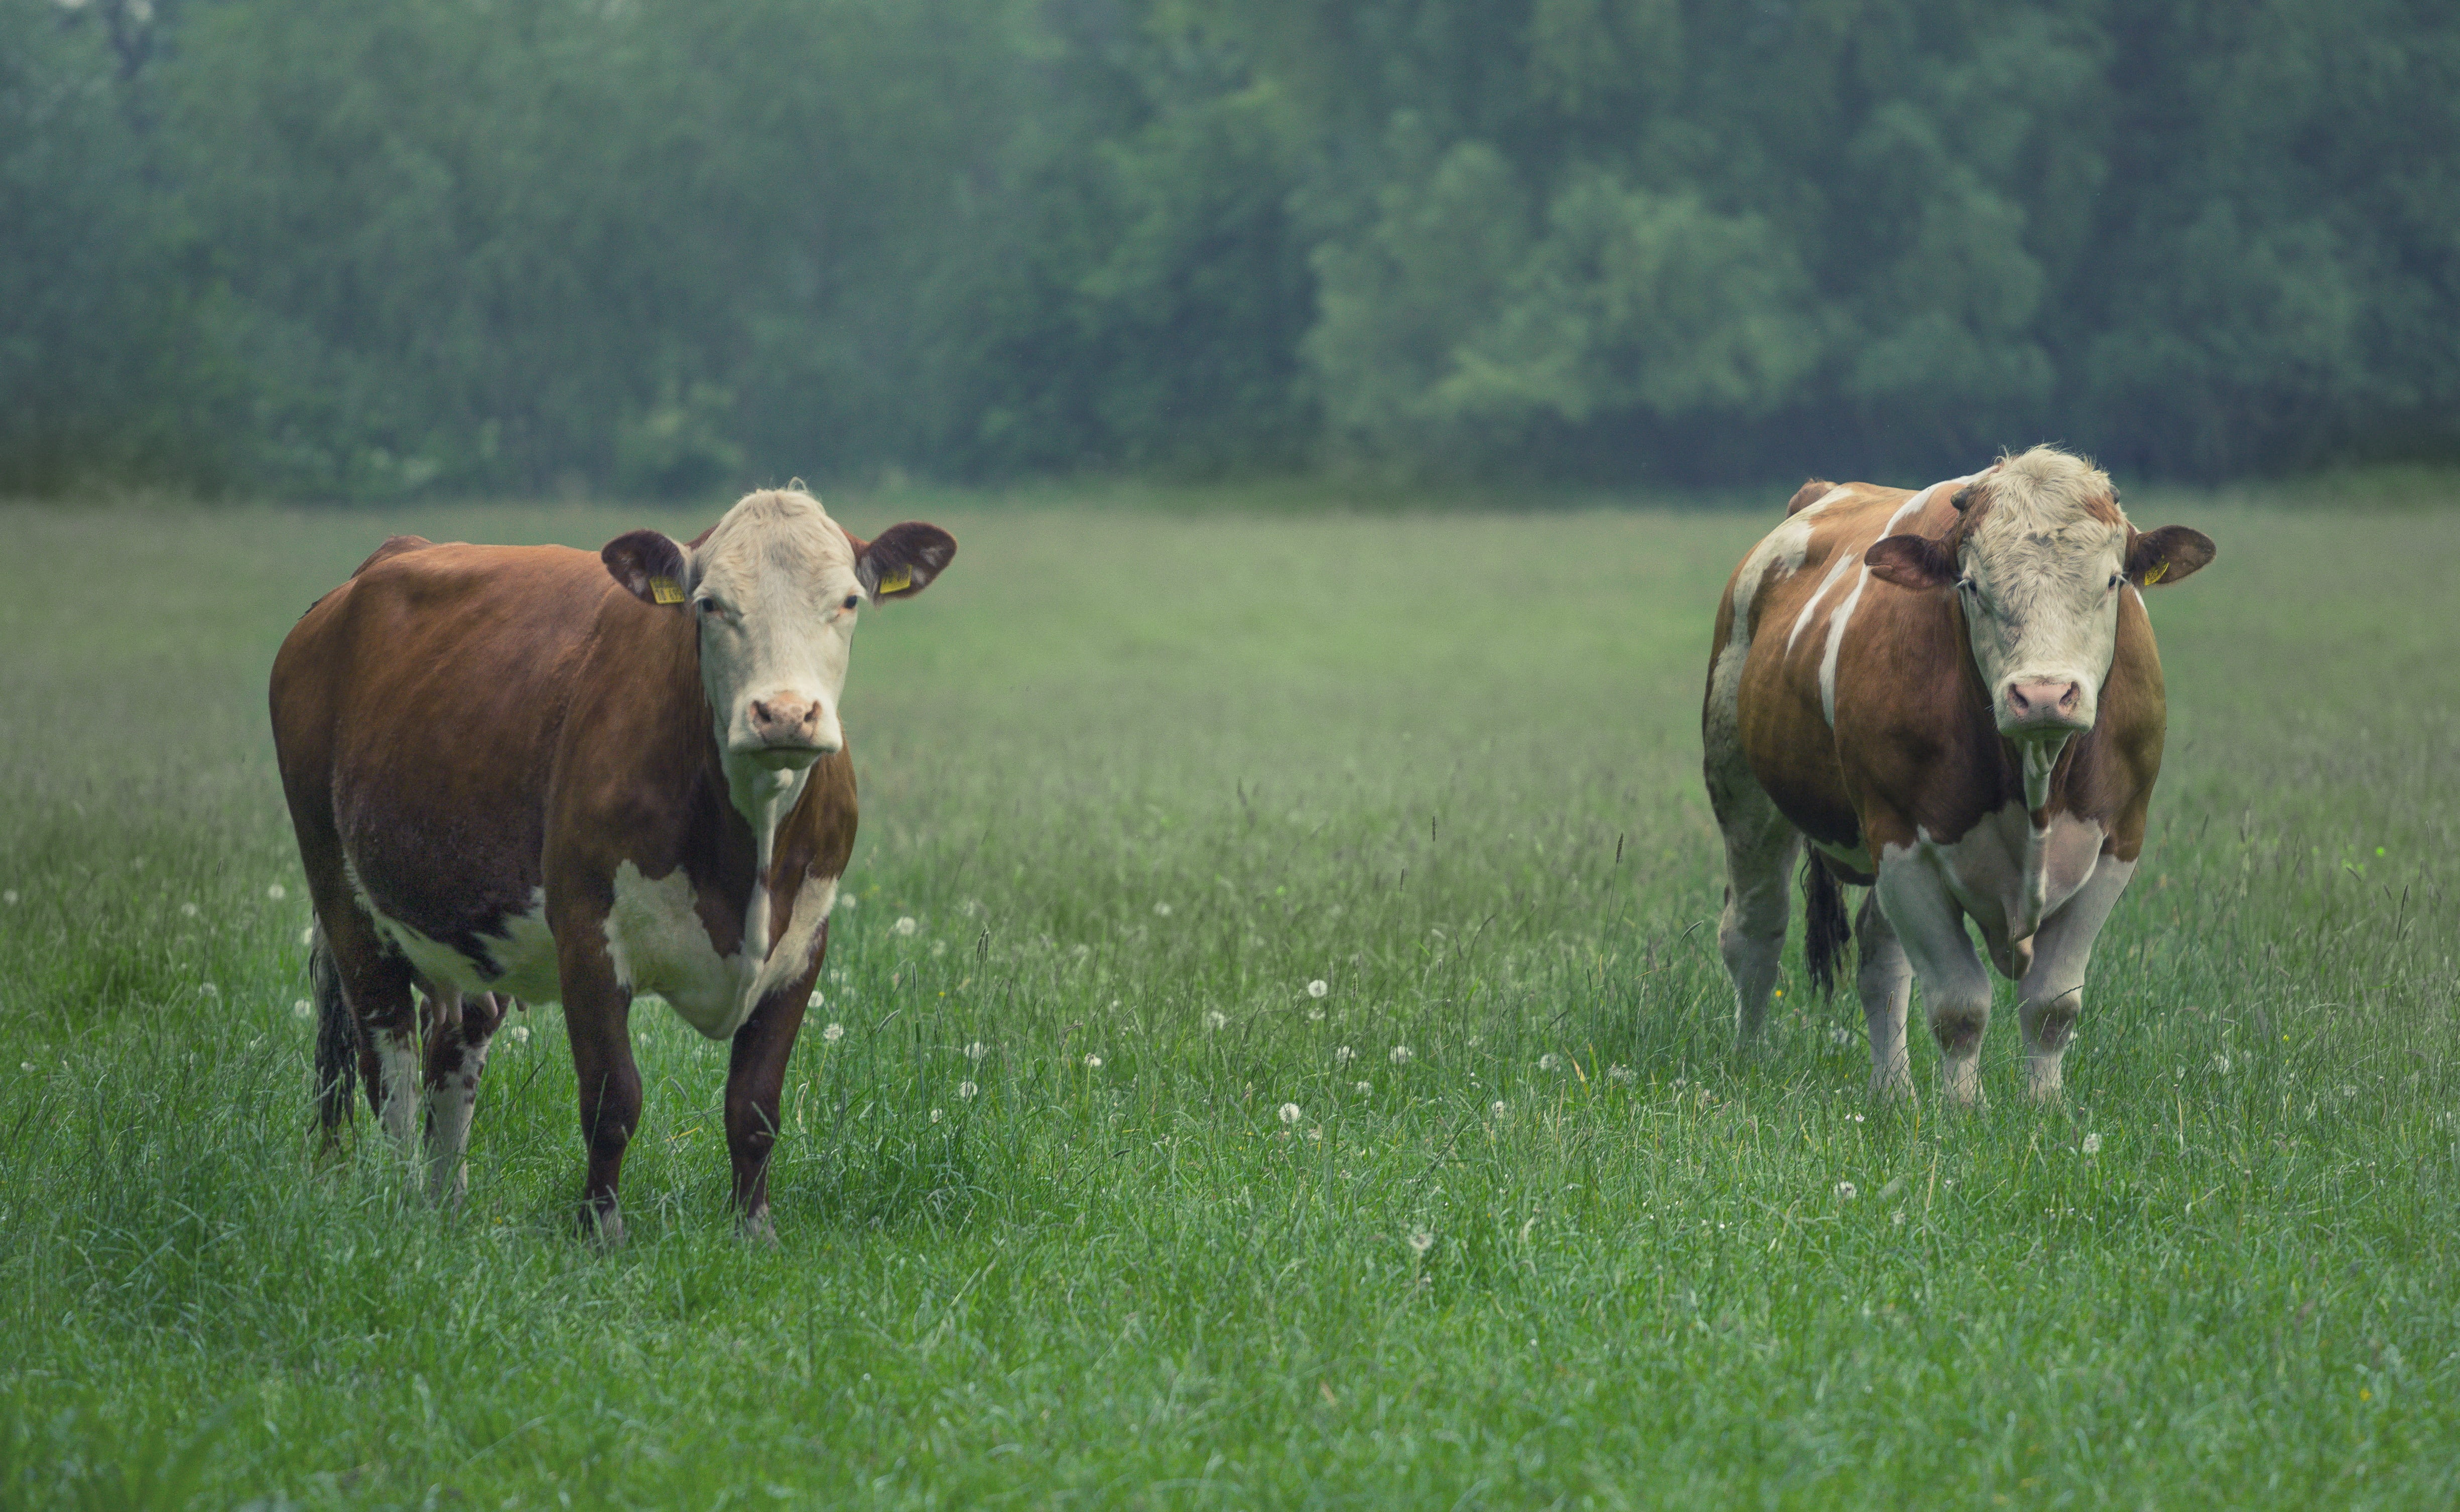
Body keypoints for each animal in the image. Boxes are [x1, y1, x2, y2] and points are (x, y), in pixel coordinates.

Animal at [272, 487, 955, 1238]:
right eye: (709, 603)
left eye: (848, 600)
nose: (783, 714)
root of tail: (376, 566)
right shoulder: (587, 934)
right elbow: (610, 1099)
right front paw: (600, 1230)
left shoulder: (803, 940)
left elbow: (754, 1105)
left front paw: (754, 1231)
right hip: (341, 891)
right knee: (386, 1058)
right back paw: (402, 1206)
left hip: (468, 928)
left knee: (452, 1046)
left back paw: (444, 1201)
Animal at [1701, 446, 2213, 1104]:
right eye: (1971, 585)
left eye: (2112, 581)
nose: (2041, 695)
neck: (2034, 777)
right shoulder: (1902, 845)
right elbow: (1958, 1006)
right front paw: (1963, 1111)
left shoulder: (2117, 843)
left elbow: (2051, 1006)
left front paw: (2044, 1108)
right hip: (1742, 789)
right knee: (1753, 932)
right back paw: (1748, 1061)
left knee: (1879, 959)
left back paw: (1893, 1091)